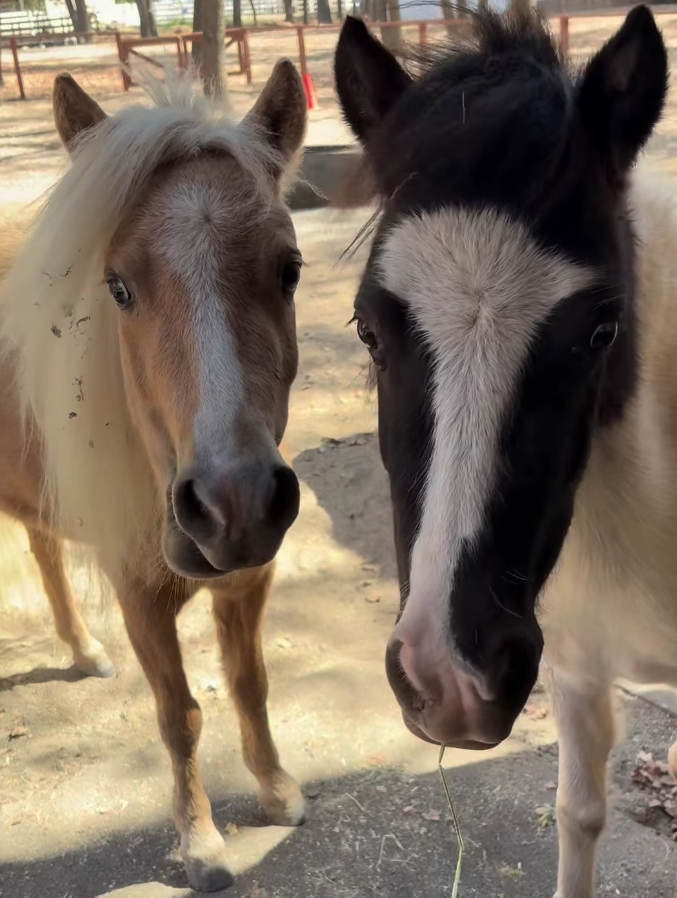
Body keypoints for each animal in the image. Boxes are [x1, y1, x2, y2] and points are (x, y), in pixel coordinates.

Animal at [0, 64, 307, 891]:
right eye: (117, 287)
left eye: (288, 269)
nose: (236, 506)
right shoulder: (140, 597)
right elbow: (181, 717)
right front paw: (200, 843)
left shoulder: (248, 584)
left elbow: (250, 684)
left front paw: (276, 789)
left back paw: (83, 650)